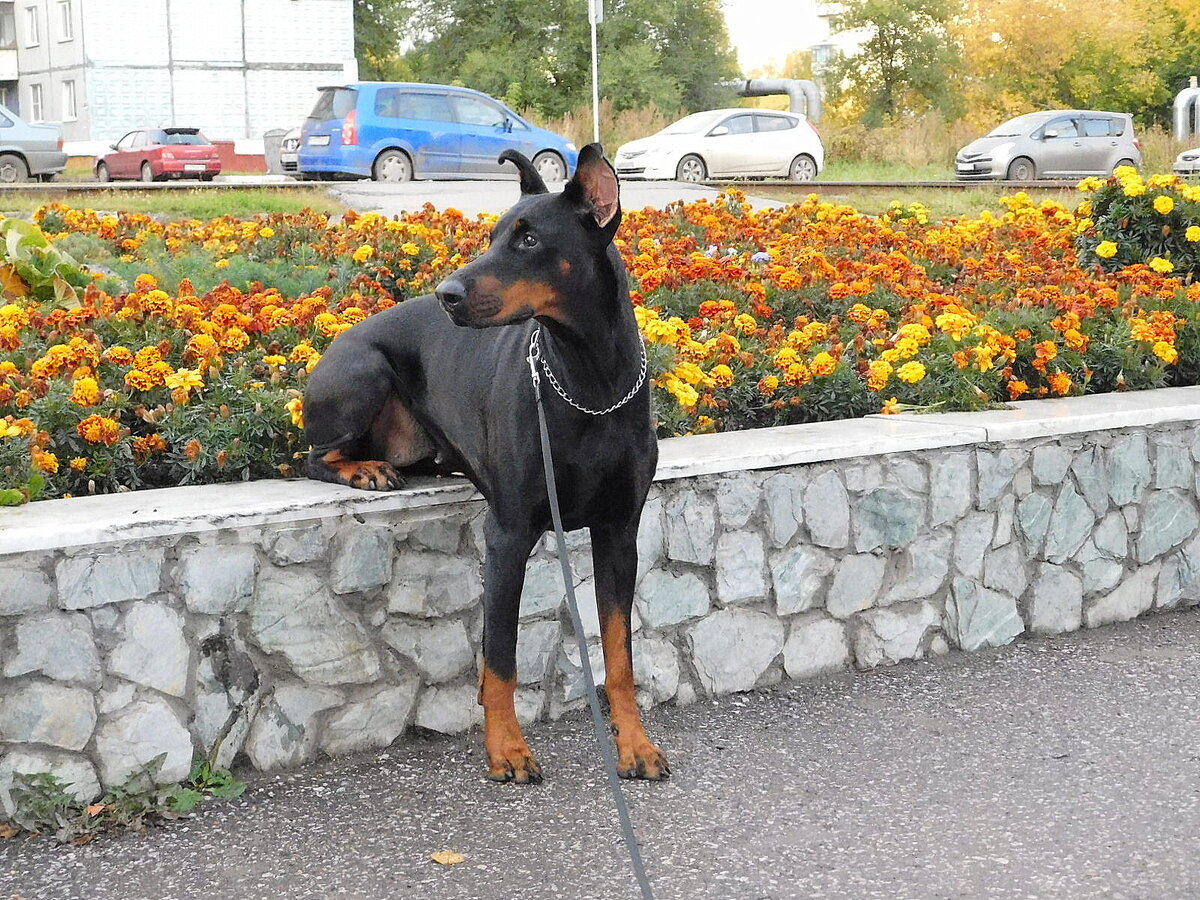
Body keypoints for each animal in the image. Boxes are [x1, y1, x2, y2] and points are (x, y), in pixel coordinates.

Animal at [304, 144, 672, 787]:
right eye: (494, 234)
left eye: (528, 239)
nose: (446, 294)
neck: (588, 382)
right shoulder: (509, 533)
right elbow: (500, 654)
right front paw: (507, 749)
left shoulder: (619, 530)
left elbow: (619, 650)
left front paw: (635, 744)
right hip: (361, 372)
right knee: (309, 455)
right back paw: (363, 469)